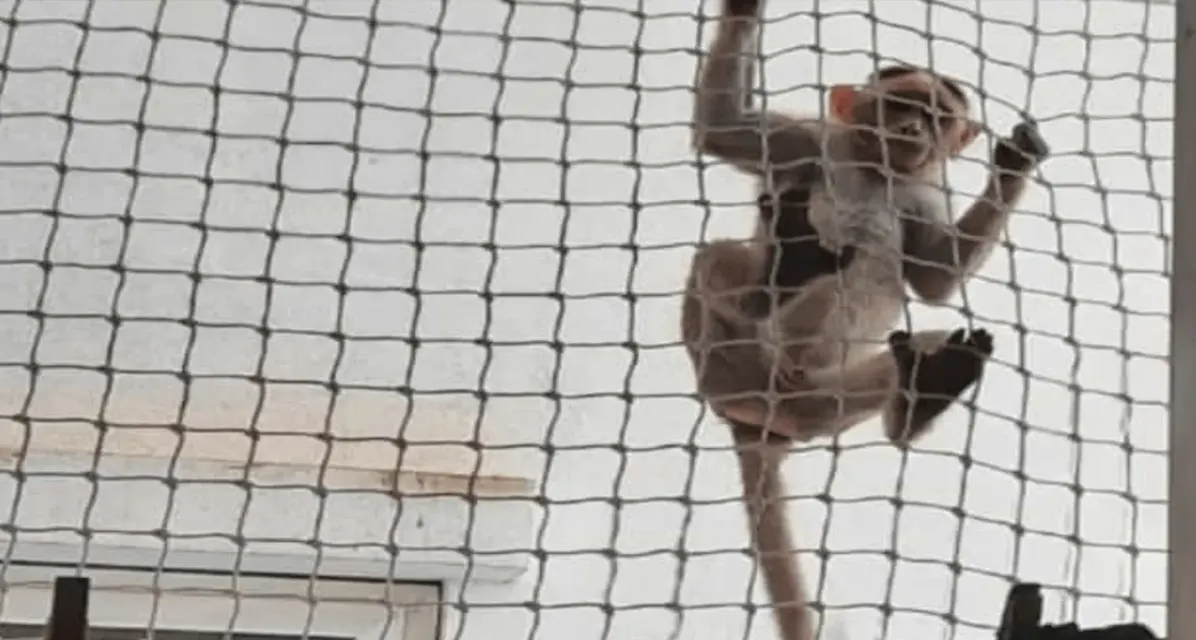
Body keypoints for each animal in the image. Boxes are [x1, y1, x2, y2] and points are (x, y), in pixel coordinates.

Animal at [680, 1, 1051, 639]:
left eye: (937, 116)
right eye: (902, 104)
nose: (912, 131)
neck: (878, 171)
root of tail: (759, 420)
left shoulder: (922, 196)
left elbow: (935, 281)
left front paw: (1013, 168)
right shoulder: (806, 139)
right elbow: (721, 127)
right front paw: (744, 11)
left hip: (817, 400)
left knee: (912, 346)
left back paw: (922, 395)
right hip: (731, 365)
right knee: (720, 259)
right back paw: (779, 274)